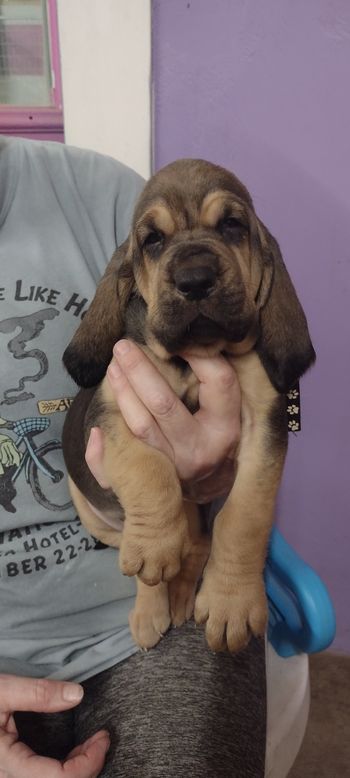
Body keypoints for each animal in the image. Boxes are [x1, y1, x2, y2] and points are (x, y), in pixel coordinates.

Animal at [61, 161, 316, 652]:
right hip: (84, 501)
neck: (197, 357)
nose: (195, 279)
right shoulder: (115, 409)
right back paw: (151, 604)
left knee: (199, 538)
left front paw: (231, 603)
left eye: (232, 225)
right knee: (140, 546)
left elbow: (244, 517)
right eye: (152, 240)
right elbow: (147, 468)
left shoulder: (264, 428)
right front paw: (156, 546)